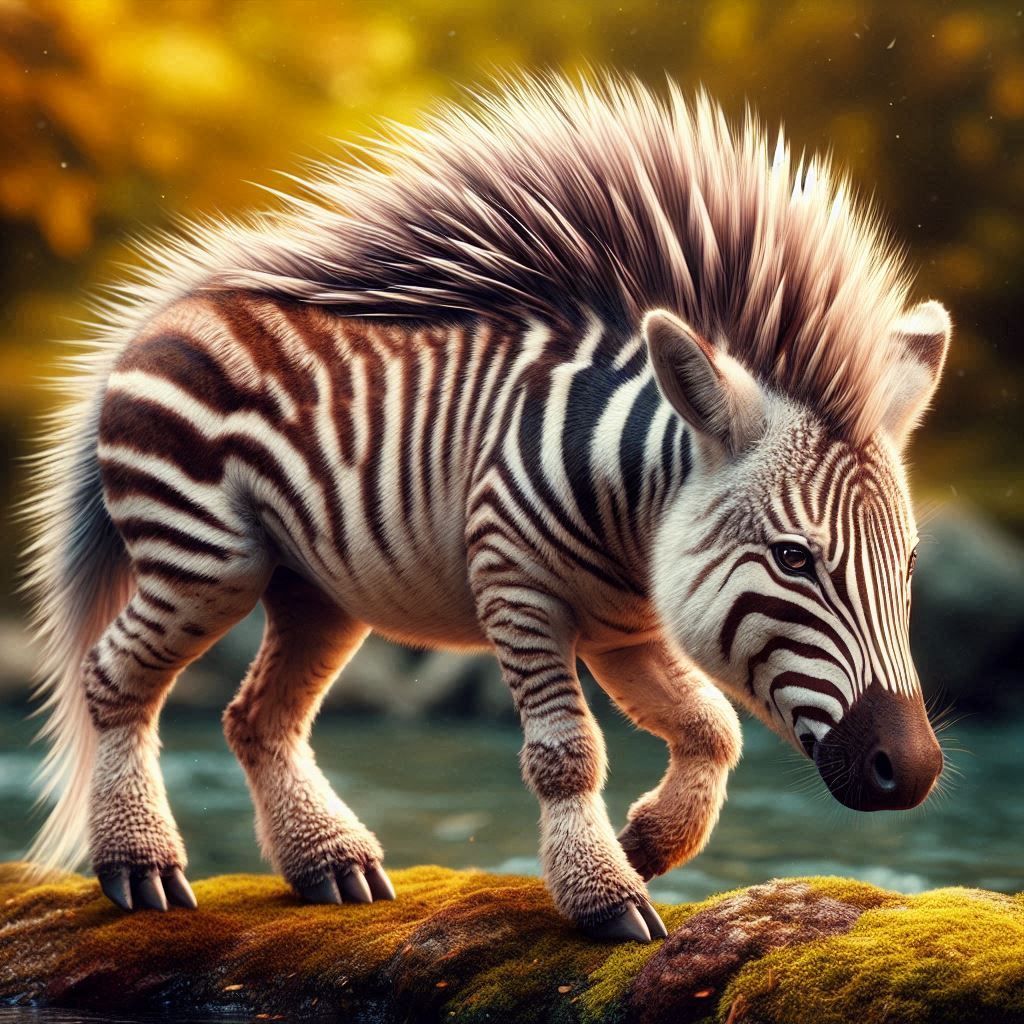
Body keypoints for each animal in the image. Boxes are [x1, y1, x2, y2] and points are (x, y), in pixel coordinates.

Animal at [24, 74, 949, 943]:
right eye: (793, 557)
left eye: (907, 565)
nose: (913, 771)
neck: (633, 514)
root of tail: (161, 317)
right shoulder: (518, 590)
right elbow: (569, 755)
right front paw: (604, 897)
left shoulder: (624, 630)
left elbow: (712, 727)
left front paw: (646, 843)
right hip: (207, 558)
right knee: (113, 678)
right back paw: (140, 865)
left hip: (316, 588)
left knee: (256, 717)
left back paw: (331, 865)